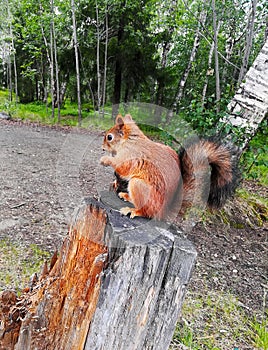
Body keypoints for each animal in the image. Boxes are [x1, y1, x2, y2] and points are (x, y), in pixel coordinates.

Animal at [100, 114, 239, 219]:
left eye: (109, 137)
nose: (102, 148)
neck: (130, 141)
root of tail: (164, 210)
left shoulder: (130, 156)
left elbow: (122, 167)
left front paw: (105, 160)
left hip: (139, 185)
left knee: (147, 212)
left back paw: (133, 210)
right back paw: (126, 196)